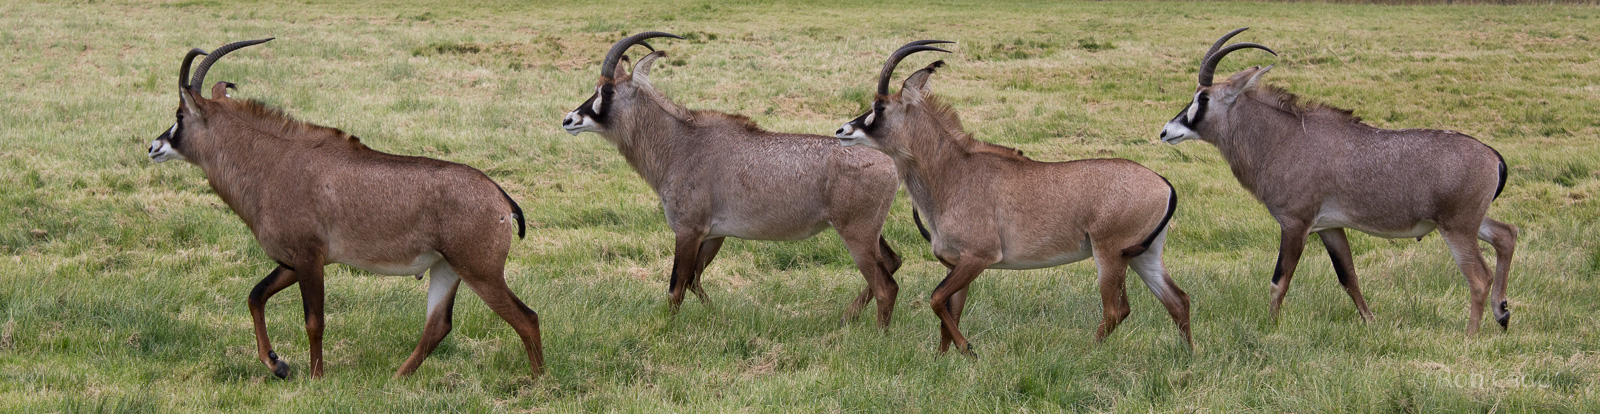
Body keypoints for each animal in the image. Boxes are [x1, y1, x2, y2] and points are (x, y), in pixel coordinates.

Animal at [147, 39, 543, 378]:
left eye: (180, 115)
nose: (153, 146)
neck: (273, 163)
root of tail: (500, 198)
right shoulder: (296, 260)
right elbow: (255, 295)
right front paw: (277, 364)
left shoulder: (309, 257)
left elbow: (314, 321)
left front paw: (315, 377)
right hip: (446, 269)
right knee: (439, 325)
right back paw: (396, 379)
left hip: (480, 272)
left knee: (526, 318)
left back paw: (538, 381)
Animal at [560, 33, 907, 326]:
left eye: (607, 90)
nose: (569, 120)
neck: (681, 144)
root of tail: (889, 162)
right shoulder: (714, 235)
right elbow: (693, 280)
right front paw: (718, 318)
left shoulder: (688, 231)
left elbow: (676, 287)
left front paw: (667, 330)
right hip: (869, 232)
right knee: (892, 262)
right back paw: (847, 318)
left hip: (856, 233)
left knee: (885, 285)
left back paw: (878, 335)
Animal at [835, 41, 1192, 353]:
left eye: (879, 106)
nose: (842, 131)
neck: (953, 172)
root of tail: (1163, 184)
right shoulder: (957, 264)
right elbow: (948, 315)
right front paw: (946, 361)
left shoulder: (979, 257)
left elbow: (936, 300)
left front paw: (969, 351)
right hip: (1143, 256)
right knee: (1178, 300)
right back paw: (1188, 356)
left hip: (1110, 255)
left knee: (1116, 310)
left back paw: (1089, 353)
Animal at [1158, 28, 1517, 335]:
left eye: (1203, 98)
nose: (1166, 131)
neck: (1284, 138)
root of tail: (1493, 157)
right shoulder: (1330, 227)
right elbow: (1349, 277)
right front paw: (1371, 323)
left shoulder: (1295, 224)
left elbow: (1279, 281)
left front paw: (1271, 327)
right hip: (1470, 223)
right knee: (1506, 234)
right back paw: (1502, 313)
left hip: (1457, 228)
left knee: (1479, 276)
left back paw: (1470, 334)